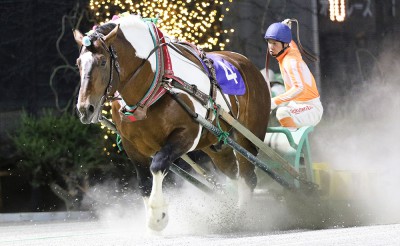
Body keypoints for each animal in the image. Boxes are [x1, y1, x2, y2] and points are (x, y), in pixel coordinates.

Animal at [73, 14, 270, 232]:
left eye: (102, 62)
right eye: (78, 63)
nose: (85, 109)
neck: (156, 83)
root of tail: (247, 63)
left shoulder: (187, 134)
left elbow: (158, 165)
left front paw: (158, 215)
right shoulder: (131, 144)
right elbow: (143, 180)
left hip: (246, 139)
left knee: (248, 177)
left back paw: (243, 216)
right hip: (218, 146)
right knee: (234, 174)